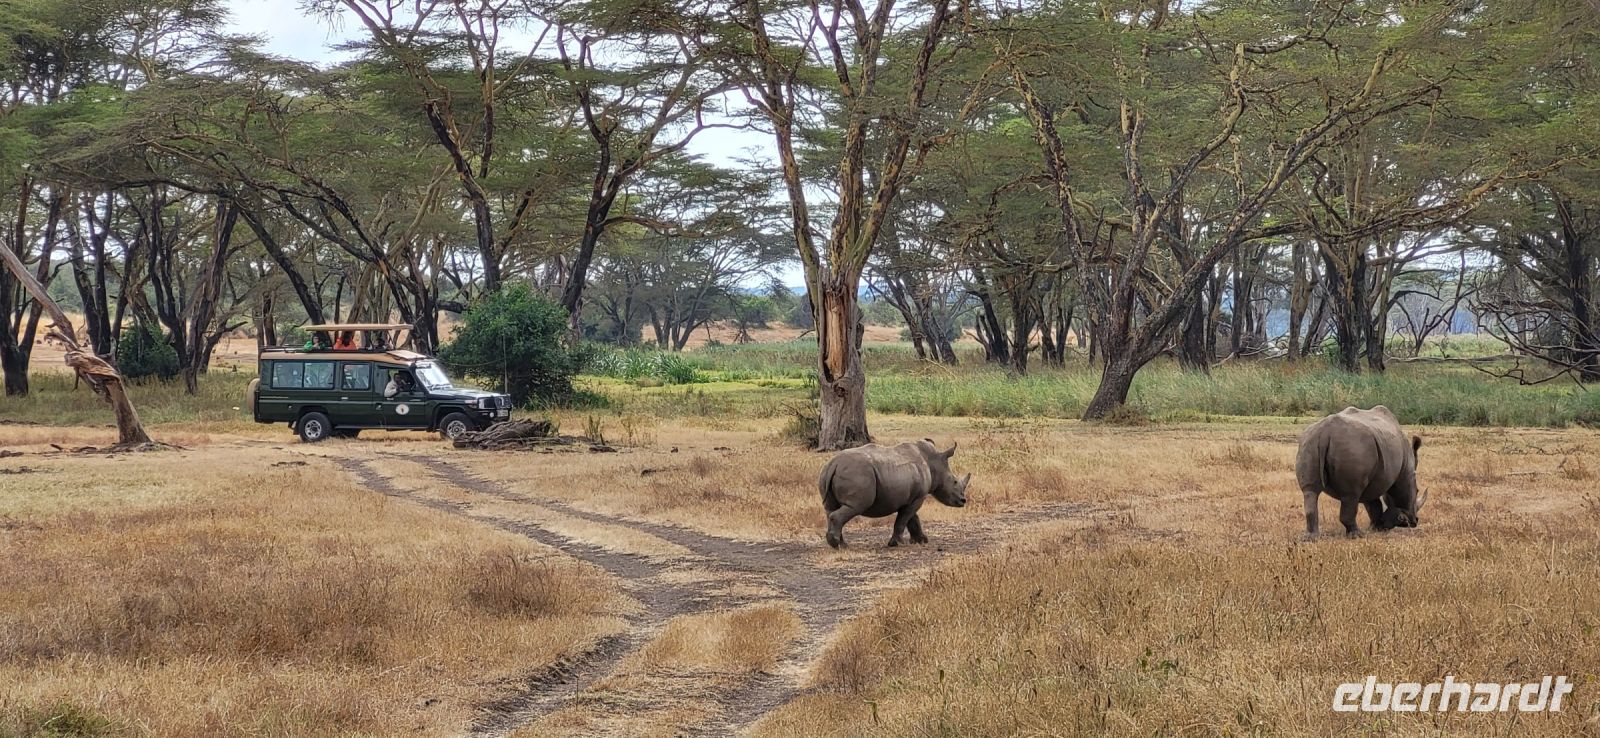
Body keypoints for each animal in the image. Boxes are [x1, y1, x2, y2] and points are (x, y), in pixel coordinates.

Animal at [819, 439, 971, 549]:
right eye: (955, 481)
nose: (963, 501)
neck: (933, 463)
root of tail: (834, 464)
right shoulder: (918, 497)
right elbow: (904, 519)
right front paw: (896, 543)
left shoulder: (911, 498)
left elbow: (912, 519)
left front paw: (921, 540)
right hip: (857, 474)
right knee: (855, 506)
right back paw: (838, 545)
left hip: (826, 474)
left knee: (830, 508)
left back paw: (840, 545)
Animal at [1296, 405, 1428, 538]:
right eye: (1417, 491)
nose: (1414, 521)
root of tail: (1324, 433)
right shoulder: (1405, 474)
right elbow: (1397, 494)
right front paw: (1381, 526)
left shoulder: (1374, 478)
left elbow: (1373, 504)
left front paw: (1377, 527)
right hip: (1354, 447)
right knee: (1351, 494)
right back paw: (1357, 535)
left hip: (1309, 443)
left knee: (1310, 490)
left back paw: (1311, 537)